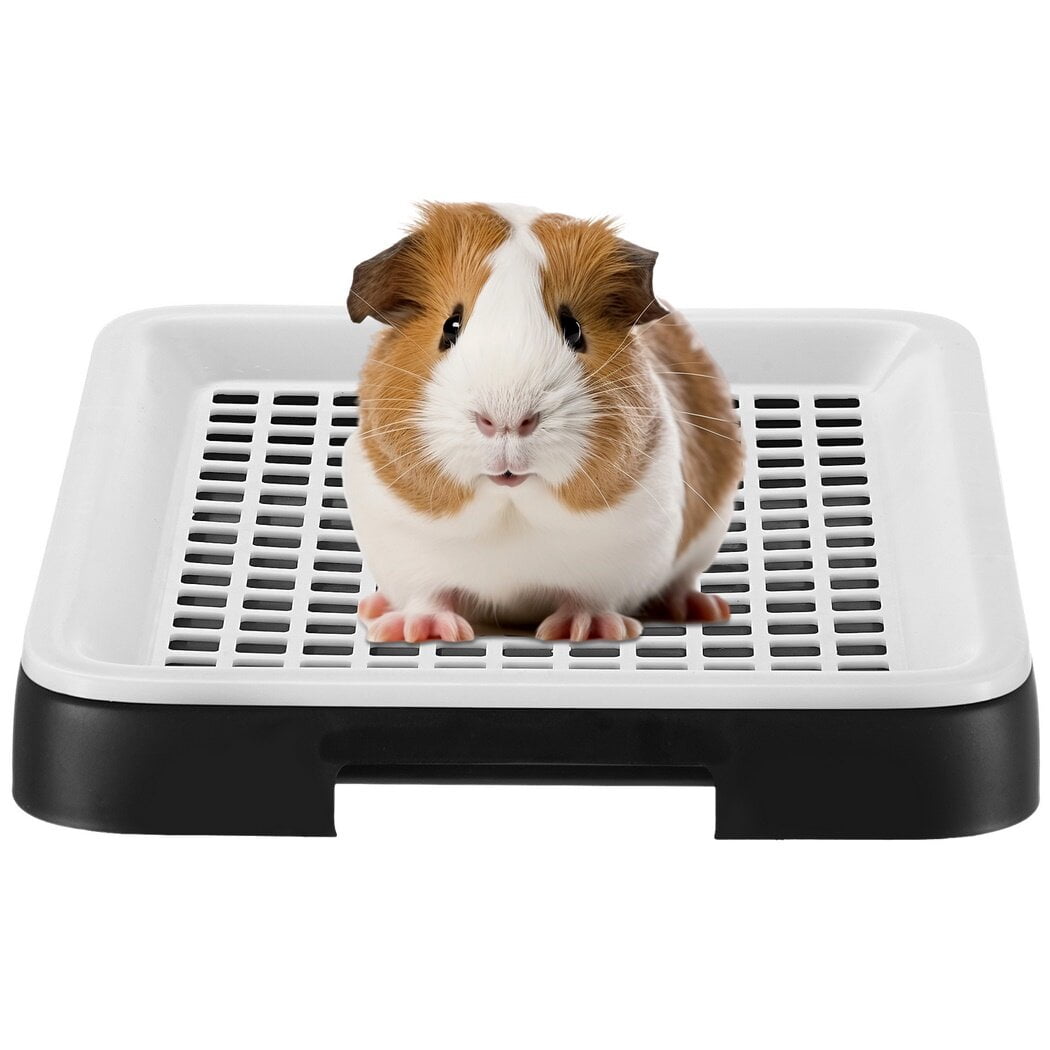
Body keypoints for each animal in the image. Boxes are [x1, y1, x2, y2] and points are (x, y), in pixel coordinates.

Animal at [343, 202, 744, 643]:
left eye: (574, 329)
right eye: (451, 327)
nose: (507, 421)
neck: (511, 510)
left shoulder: (625, 555)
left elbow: (588, 598)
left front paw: (583, 630)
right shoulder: (406, 552)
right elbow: (429, 596)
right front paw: (421, 631)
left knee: (682, 582)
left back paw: (704, 608)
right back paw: (376, 608)